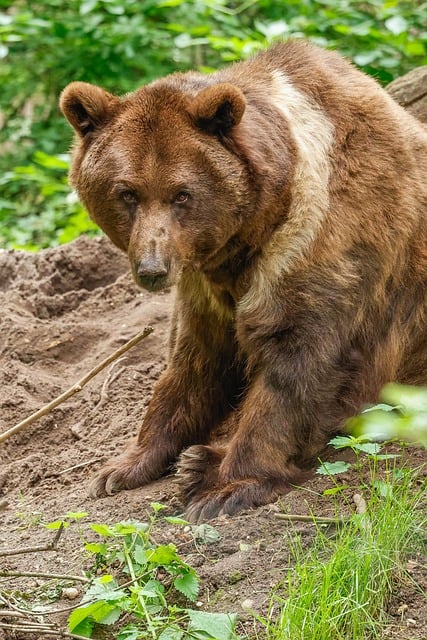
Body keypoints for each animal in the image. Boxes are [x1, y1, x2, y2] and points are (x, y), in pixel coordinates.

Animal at [60, 40, 427, 522]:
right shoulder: (203, 281)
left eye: (182, 194)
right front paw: (122, 466)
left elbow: (297, 358)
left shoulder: (327, 235)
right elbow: (194, 360)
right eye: (127, 193)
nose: (153, 268)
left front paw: (228, 487)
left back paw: (201, 465)